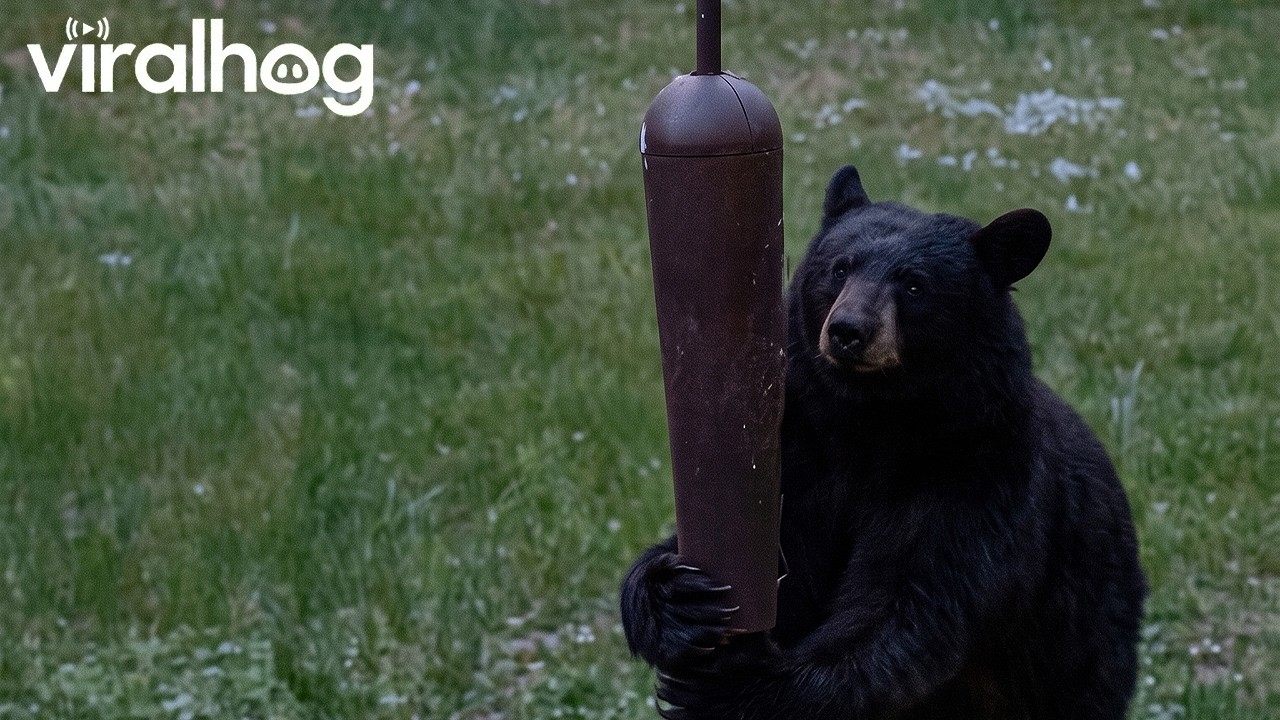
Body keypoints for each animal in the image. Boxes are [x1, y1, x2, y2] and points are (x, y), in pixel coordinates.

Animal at [620, 164, 1147, 720]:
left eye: (915, 284)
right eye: (840, 268)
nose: (848, 330)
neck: (870, 422)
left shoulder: (975, 472)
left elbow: (906, 605)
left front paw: (736, 684)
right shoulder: (802, 453)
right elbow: (782, 558)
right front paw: (674, 596)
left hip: (1079, 656)